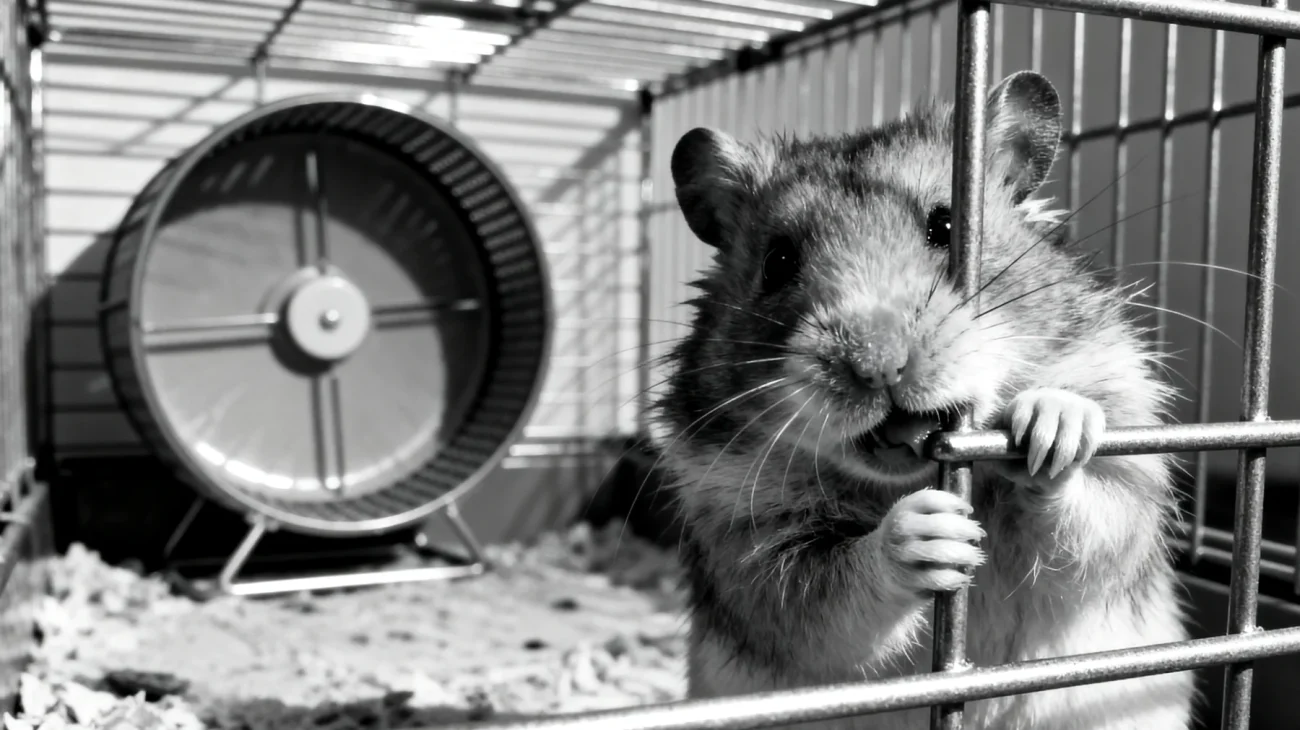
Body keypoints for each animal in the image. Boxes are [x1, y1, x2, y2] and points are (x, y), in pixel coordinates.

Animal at [653, 70, 1196, 730]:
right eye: (778, 262)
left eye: (946, 228)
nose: (878, 363)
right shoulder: (747, 542)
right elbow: (821, 596)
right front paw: (930, 530)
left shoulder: (1129, 450)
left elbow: (1096, 520)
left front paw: (1050, 424)